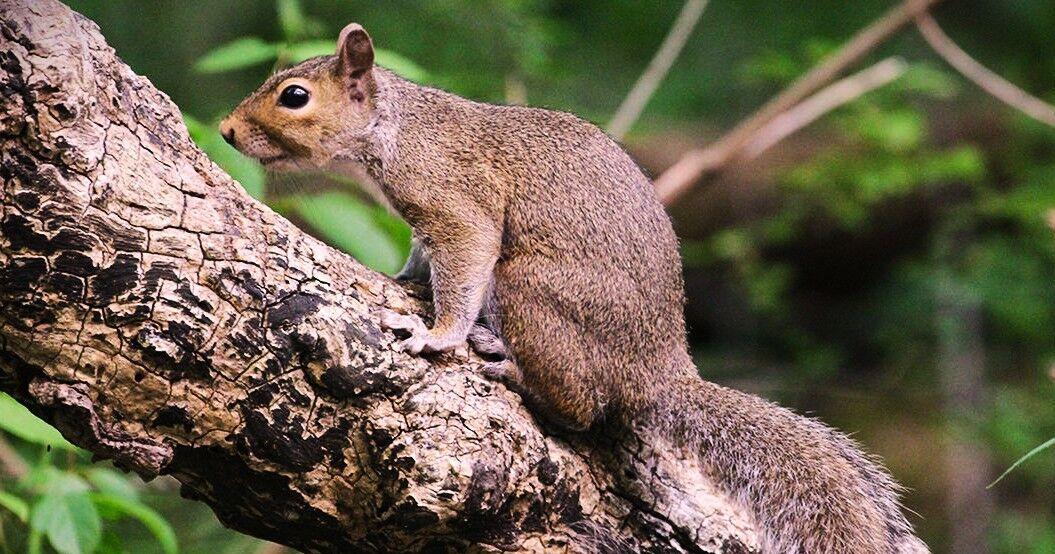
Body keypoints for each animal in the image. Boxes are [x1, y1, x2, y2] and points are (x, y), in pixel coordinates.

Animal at [219, 22, 928, 554]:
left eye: (294, 97)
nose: (226, 131)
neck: (399, 126)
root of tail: (659, 372)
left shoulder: (456, 200)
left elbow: (464, 261)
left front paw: (434, 335)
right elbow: (423, 261)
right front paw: (403, 279)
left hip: (533, 292)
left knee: (581, 407)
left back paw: (513, 369)